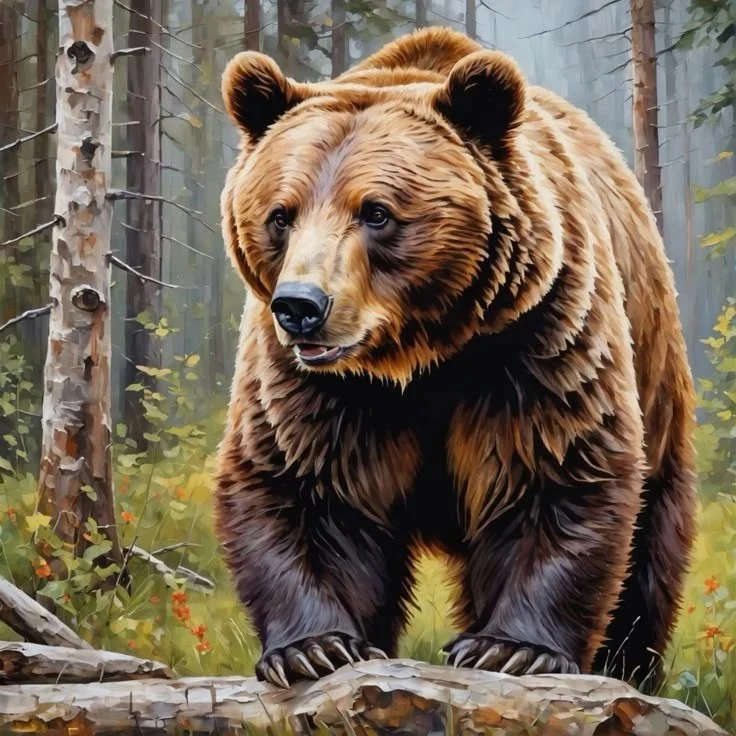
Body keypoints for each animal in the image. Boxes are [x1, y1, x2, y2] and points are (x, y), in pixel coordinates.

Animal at [215, 26, 697, 692]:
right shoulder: (316, 385)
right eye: (280, 215)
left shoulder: (535, 337)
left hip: (657, 374)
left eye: (376, 212)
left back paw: (628, 666)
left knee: (650, 545)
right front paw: (315, 648)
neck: (421, 354)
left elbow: (553, 469)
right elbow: (305, 484)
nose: (301, 306)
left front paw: (511, 649)